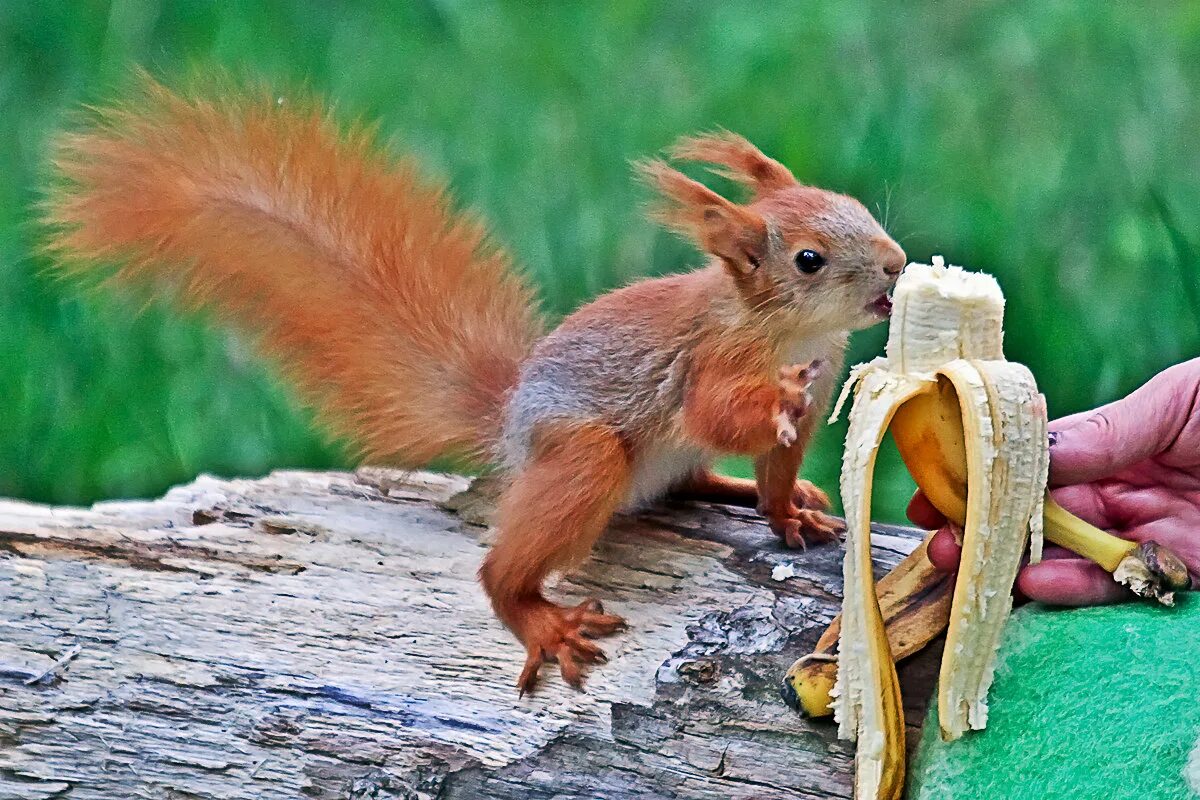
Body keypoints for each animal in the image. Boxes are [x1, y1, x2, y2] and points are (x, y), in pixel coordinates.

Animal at [49, 77, 902, 695]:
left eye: (859, 209)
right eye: (809, 260)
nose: (896, 265)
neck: (788, 332)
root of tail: (511, 423)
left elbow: (778, 469)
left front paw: (788, 511)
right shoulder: (708, 360)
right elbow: (719, 413)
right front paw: (776, 402)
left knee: (687, 479)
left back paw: (727, 491)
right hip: (581, 453)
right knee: (508, 563)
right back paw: (537, 618)